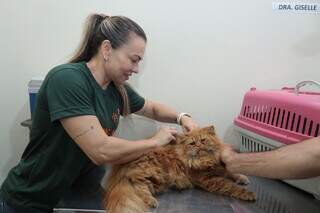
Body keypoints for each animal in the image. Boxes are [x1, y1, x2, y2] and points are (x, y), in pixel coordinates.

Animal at [104, 125, 256, 212]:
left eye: (203, 140)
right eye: (192, 143)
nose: (198, 146)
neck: (205, 160)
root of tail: (121, 165)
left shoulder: (220, 167)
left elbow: (231, 172)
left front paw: (242, 177)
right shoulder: (209, 179)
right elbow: (231, 186)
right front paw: (248, 194)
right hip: (154, 173)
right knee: (138, 186)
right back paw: (152, 201)